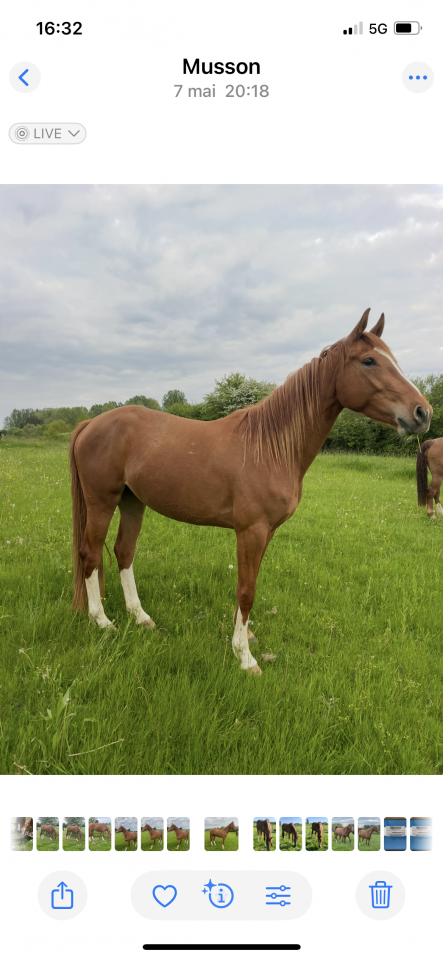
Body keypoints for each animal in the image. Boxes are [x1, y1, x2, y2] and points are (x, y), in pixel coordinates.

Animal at [69, 311, 431, 675]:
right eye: (369, 361)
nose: (423, 413)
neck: (269, 448)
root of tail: (90, 424)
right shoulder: (251, 531)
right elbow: (246, 590)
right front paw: (244, 656)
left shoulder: (266, 532)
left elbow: (250, 584)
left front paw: (246, 636)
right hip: (103, 501)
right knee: (90, 553)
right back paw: (102, 621)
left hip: (132, 502)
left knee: (123, 552)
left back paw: (140, 616)